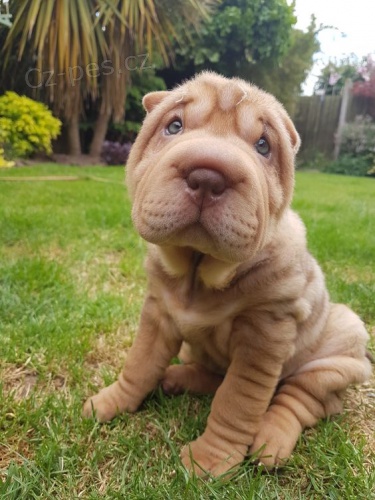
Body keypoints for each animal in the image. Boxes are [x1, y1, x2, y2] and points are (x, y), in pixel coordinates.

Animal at [83, 71, 374, 476]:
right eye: (174, 126)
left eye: (264, 146)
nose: (208, 176)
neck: (198, 271)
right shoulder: (158, 313)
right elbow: (139, 364)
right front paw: (110, 402)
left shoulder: (263, 336)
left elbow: (236, 401)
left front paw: (210, 460)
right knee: (213, 374)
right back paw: (177, 377)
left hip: (340, 344)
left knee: (303, 398)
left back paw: (271, 439)